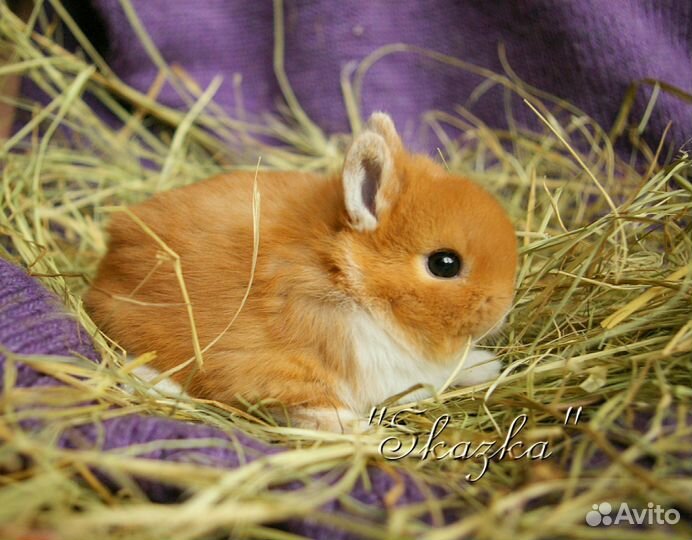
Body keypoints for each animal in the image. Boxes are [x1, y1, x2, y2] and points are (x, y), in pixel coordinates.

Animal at [85, 112, 518, 432]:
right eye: (444, 264)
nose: (503, 310)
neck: (349, 281)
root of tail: (105, 268)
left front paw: (485, 365)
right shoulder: (282, 376)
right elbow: (319, 411)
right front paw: (363, 433)